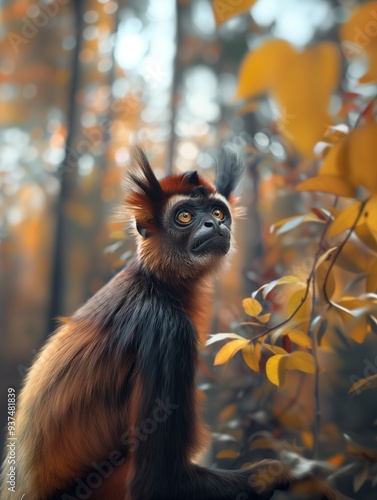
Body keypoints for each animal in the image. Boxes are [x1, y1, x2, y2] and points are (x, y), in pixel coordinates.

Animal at [0, 146, 332, 498]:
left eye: (218, 213)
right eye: (184, 216)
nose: (212, 225)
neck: (156, 282)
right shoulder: (168, 330)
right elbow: (157, 482)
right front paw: (278, 474)